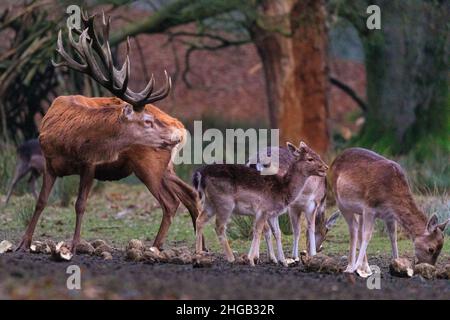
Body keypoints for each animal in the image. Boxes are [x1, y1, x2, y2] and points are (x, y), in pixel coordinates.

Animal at [14, 10, 203, 252]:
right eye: (147, 121)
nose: (174, 136)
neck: (68, 141)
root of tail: (180, 124)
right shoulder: (49, 163)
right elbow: (40, 201)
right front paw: (24, 242)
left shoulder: (89, 165)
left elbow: (80, 204)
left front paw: (74, 245)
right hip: (165, 167)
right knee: (189, 194)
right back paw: (199, 247)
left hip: (149, 165)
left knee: (170, 202)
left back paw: (155, 246)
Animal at [192, 141, 326, 266]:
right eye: (310, 158)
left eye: (318, 154)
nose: (325, 167)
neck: (283, 189)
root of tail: (200, 174)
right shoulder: (263, 210)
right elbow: (258, 231)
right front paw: (251, 260)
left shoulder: (272, 214)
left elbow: (277, 233)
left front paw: (283, 261)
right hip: (225, 203)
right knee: (219, 227)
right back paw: (231, 258)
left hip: (209, 203)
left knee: (199, 220)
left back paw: (199, 255)